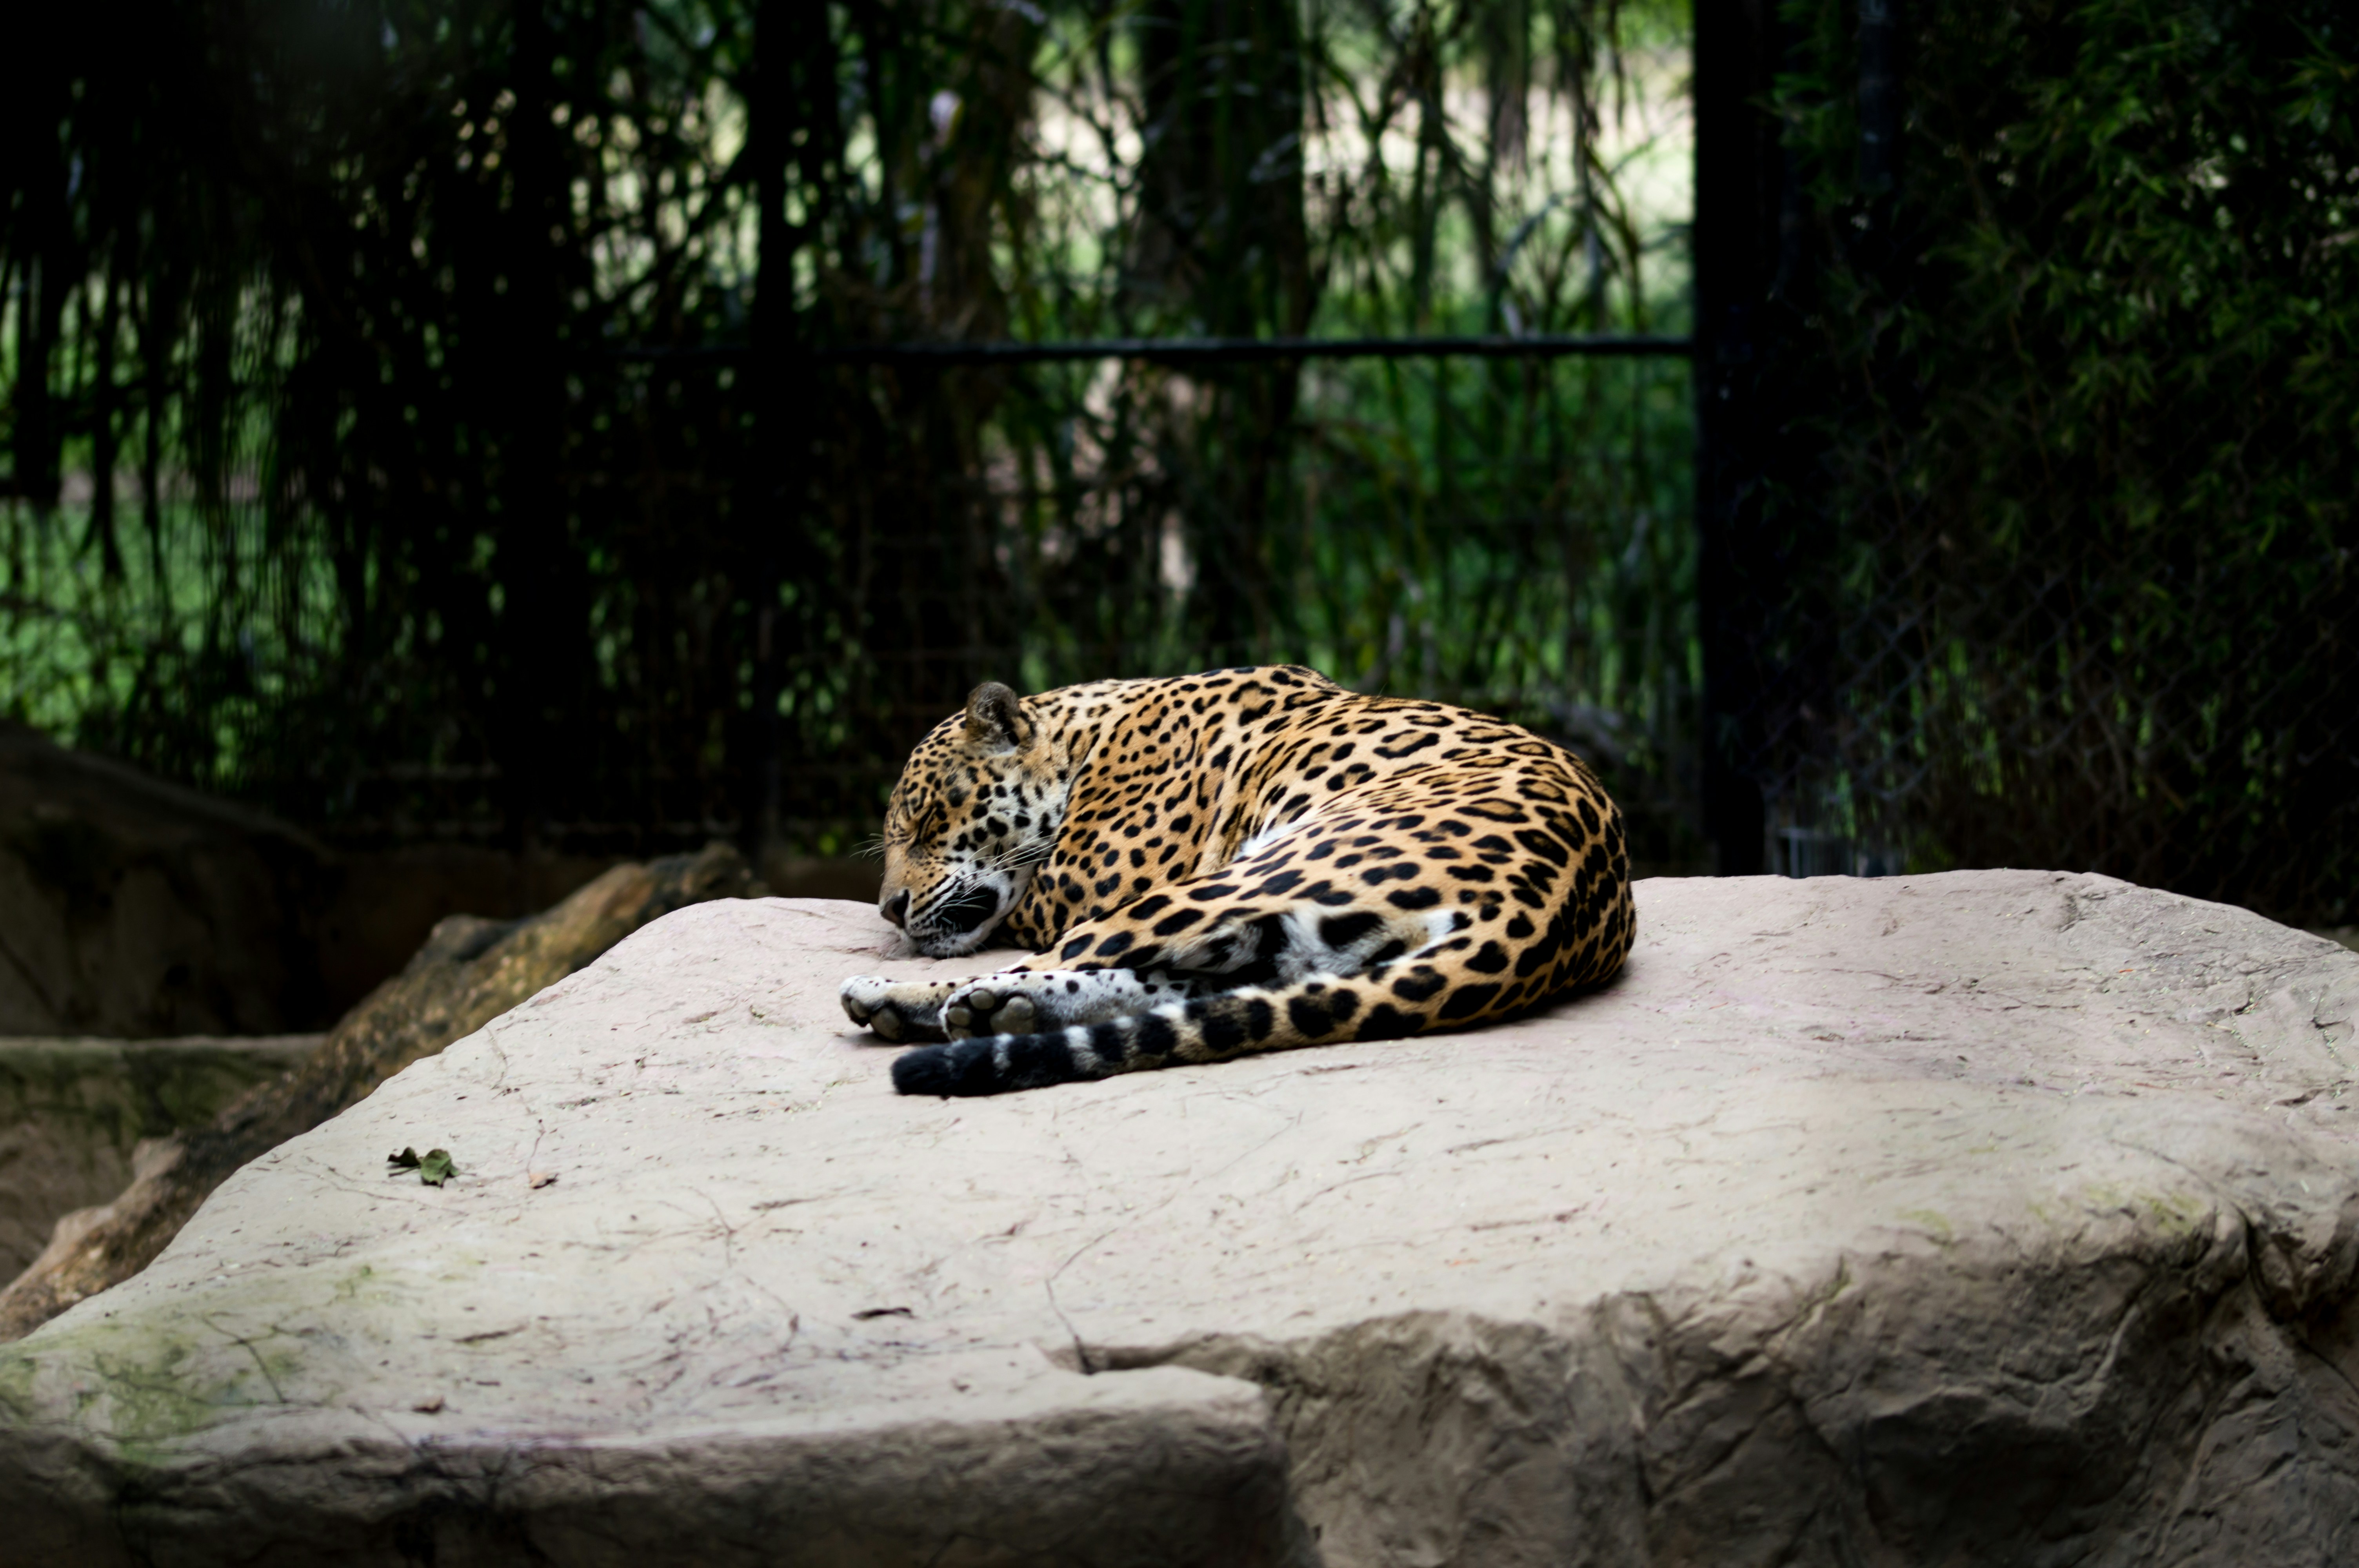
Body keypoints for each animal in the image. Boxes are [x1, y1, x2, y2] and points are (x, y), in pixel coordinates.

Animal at [839, 665, 1634, 1096]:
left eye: (928, 819)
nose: (891, 910)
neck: (1089, 737)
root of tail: (1542, 916)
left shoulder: (1082, 884)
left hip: (1241, 874)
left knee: (1072, 963)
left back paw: (916, 1001)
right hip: (1297, 931)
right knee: (1209, 991)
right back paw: (1003, 1013)